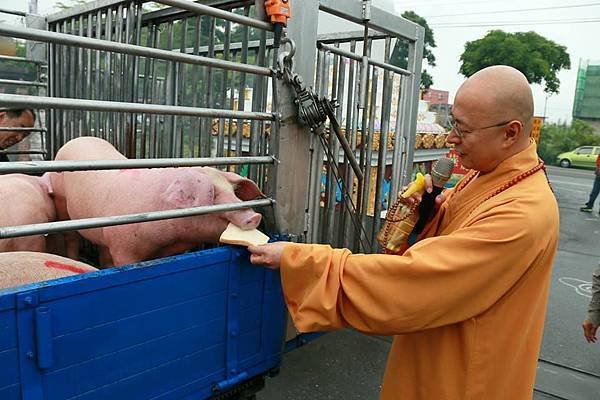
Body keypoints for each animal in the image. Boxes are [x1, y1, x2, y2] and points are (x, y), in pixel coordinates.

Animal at [47, 136, 262, 268]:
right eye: (213, 195)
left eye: (232, 192)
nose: (256, 216)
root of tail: (76, 139)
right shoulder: (124, 248)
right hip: (61, 199)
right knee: (71, 236)